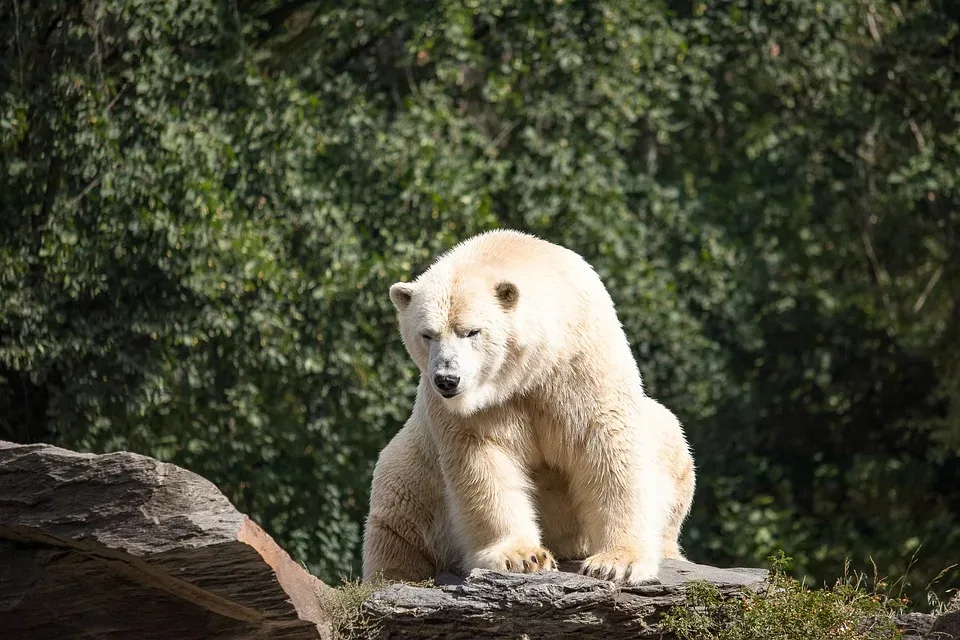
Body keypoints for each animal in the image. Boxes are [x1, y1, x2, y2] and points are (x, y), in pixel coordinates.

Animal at [364, 230, 692, 584]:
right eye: (427, 334)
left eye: (472, 331)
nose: (447, 380)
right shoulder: (476, 408)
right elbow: (483, 461)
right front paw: (523, 557)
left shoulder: (580, 363)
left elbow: (606, 442)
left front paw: (617, 562)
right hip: (413, 472)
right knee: (396, 522)